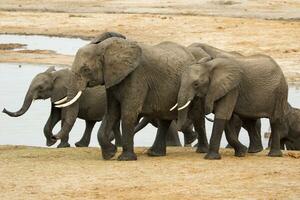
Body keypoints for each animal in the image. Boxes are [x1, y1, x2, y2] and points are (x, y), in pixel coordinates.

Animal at [54, 36, 211, 161]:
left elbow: (128, 113)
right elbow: (112, 113)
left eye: (86, 70)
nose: (53, 137)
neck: (105, 47)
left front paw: (125, 159)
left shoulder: (137, 76)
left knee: (196, 115)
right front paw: (110, 154)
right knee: (164, 119)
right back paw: (155, 154)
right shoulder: (113, 79)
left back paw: (201, 151)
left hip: (194, 87)